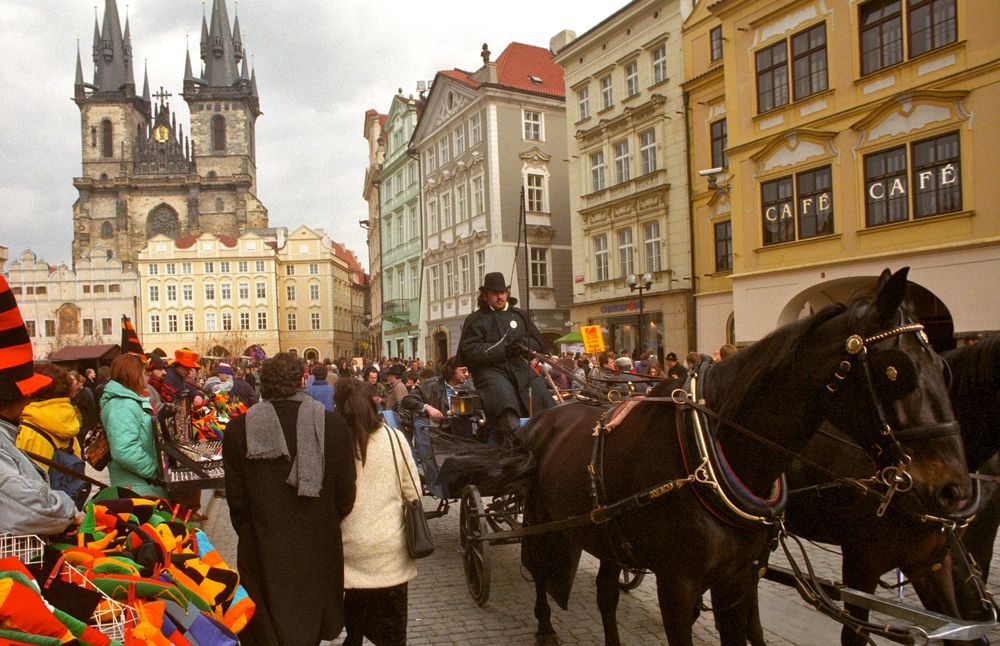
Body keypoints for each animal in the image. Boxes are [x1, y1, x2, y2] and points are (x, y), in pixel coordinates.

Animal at [508, 270, 968, 646]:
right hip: (539, 518)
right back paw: (545, 625)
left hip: (604, 532)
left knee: (605, 594)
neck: (709, 452)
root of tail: (545, 414)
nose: (953, 490)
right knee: (536, 566)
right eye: (896, 371)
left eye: (944, 368)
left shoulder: (738, 580)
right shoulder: (678, 585)